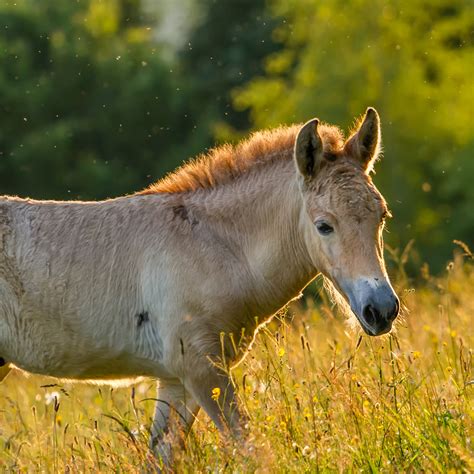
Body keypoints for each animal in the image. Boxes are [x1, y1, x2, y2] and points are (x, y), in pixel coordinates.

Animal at [0, 107, 400, 462]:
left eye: (381, 216)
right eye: (324, 226)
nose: (381, 309)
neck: (216, 247)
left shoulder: (176, 382)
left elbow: (162, 457)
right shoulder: (202, 368)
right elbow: (249, 449)